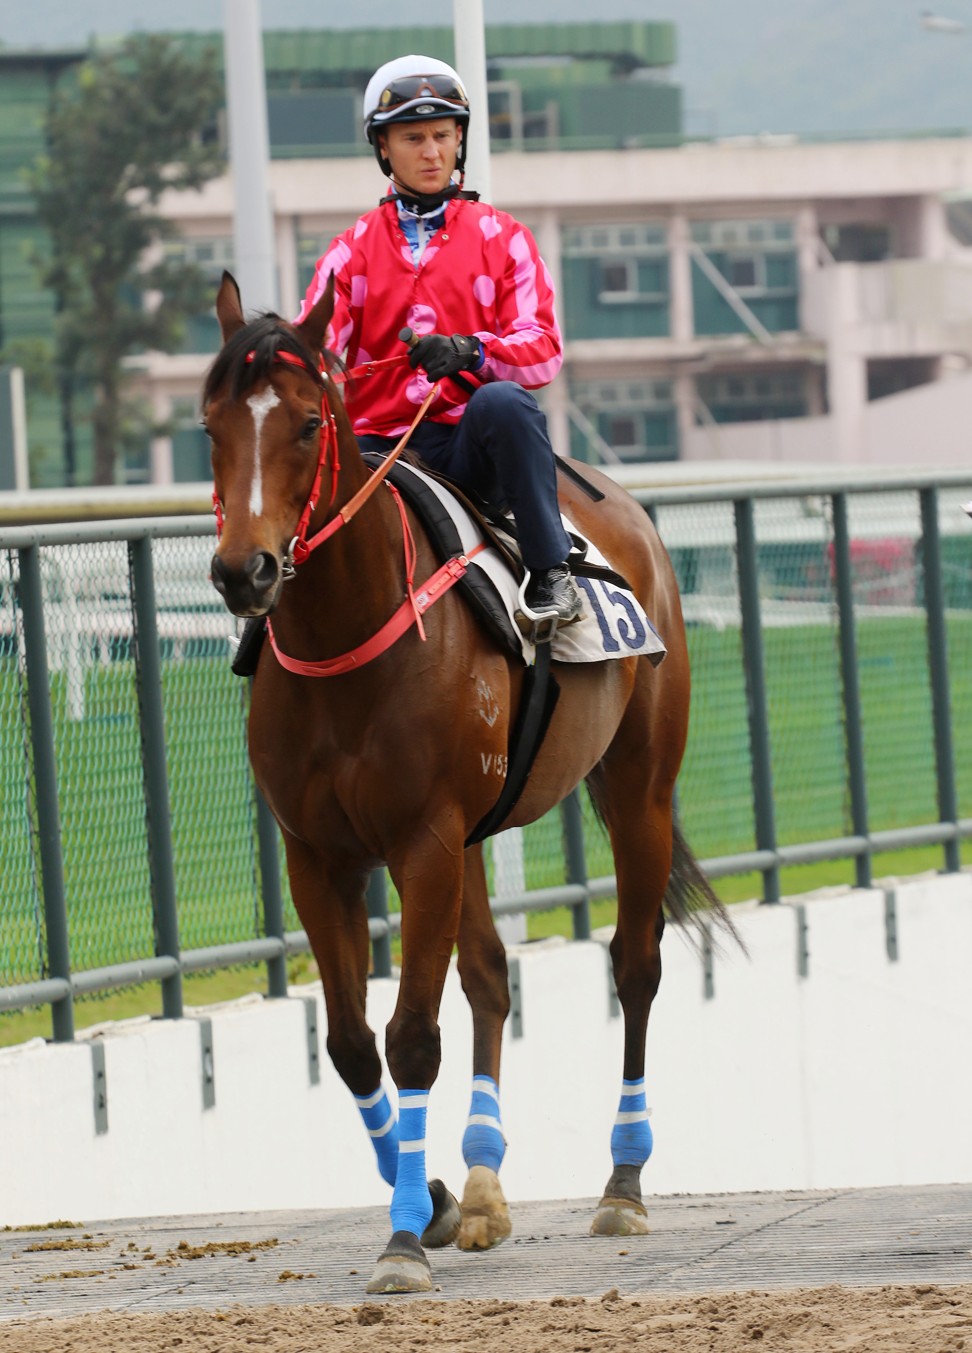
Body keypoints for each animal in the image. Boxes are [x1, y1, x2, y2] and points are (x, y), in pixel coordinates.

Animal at [201, 269, 725, 1293]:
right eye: (210, 424)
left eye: (307, 423)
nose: (245, 571)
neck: (350, 637)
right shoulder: (321, 856)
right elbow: (354, 1043)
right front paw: (437, 1200)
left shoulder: (425, 840)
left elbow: (411, 1034)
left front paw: (404, 1238)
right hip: (477, 834)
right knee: (489, 977)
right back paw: (483, 1186)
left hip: (638, 787)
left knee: (634, 966)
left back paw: (623, 1182)